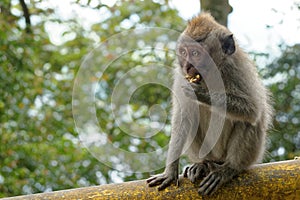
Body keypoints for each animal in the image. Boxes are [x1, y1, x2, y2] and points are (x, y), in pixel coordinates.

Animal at [146, 12, 274, 195]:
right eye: (183, 52)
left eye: (195, 53)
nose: (188, 66)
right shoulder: (181, 77)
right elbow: (182, 118)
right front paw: (170, 171)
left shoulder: (235, 69)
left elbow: (253, 110)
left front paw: (200, 93)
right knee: (191, 120)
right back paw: (202, 164)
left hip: (250, 155)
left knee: (248, 122)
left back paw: (229, 169)